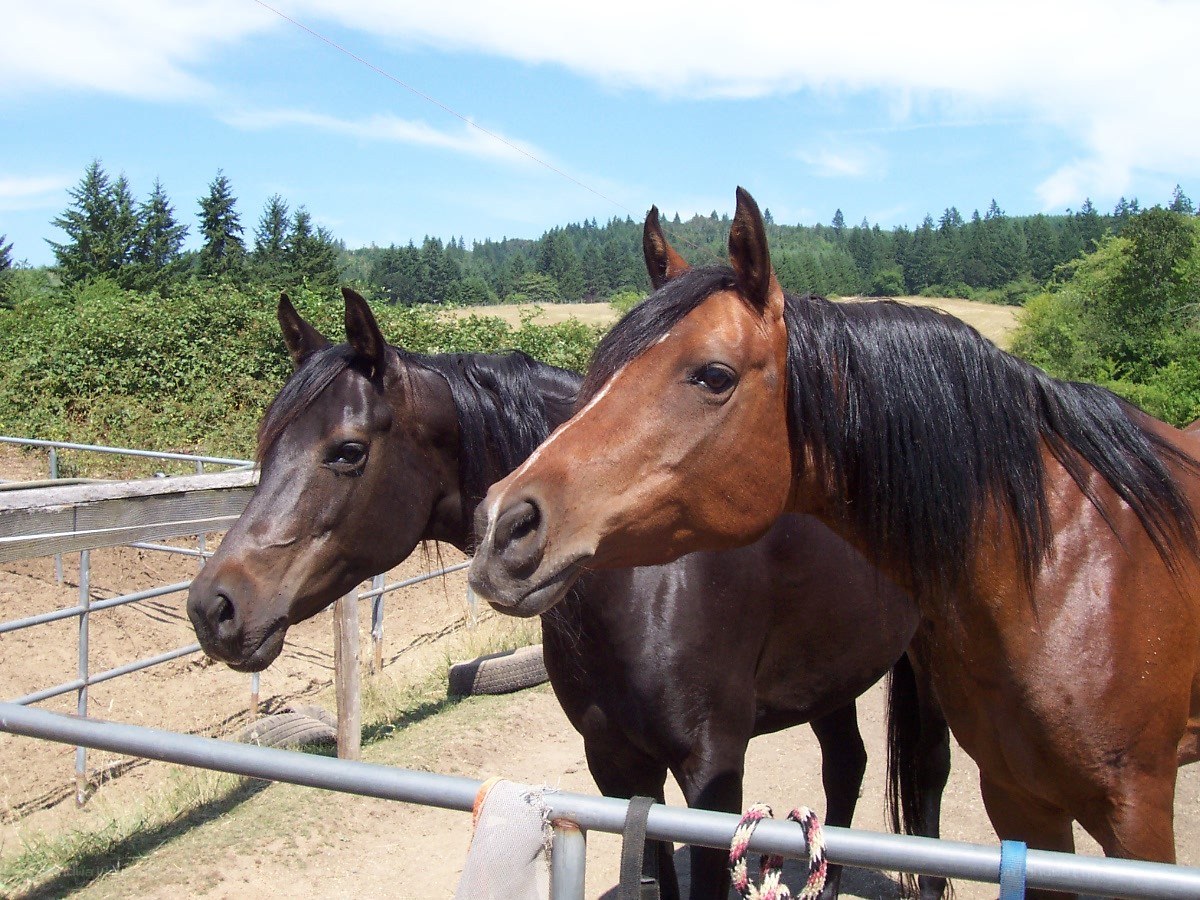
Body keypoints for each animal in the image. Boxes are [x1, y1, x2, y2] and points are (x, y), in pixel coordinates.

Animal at [187, 287, 951, 900]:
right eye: (267, 446)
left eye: (346, 451)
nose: (213, 607)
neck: (646, 576)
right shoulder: (617, 765)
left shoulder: (712, 769)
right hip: (832, 673)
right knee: (845, 769)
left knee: (927, 780)